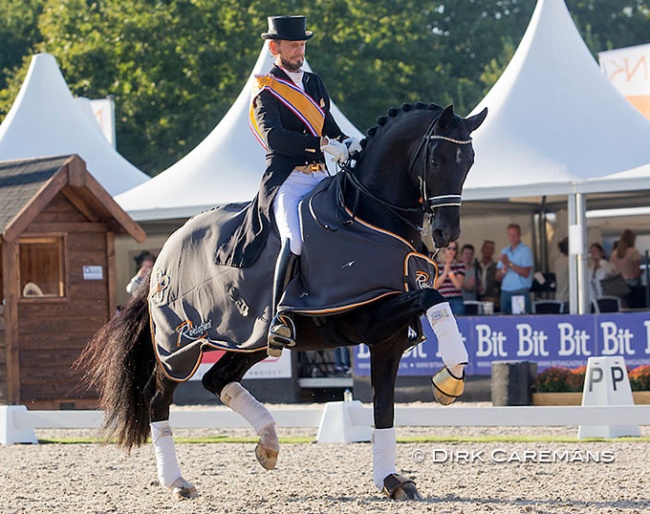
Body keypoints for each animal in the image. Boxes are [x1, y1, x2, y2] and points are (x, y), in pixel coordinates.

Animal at [79, 103, 486, 500]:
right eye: (436, 160)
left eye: (469, 161)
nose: (445, 233)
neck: (369, 218)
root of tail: (162, 257)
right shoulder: (369, 316)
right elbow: (433, 296)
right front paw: (451, 376)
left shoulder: (389, 340)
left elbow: (384, 408)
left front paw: (391, 479)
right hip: (181, 346)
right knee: (158, 396)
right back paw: (178, 481)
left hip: (249, 342)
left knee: (216, 379)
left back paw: (269, 442)